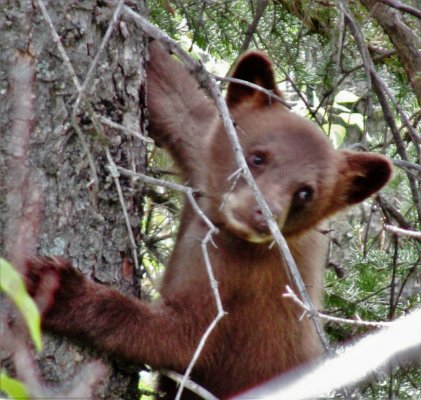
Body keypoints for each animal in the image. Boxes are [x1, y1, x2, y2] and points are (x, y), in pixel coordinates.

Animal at [24, 42, 392, 398]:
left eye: (305, 193)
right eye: (257, 157)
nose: (264, 213)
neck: (221, 223)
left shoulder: (235, 278)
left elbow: (183, 339)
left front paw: (57, 289)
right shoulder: (203, 144)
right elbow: (174, 98)